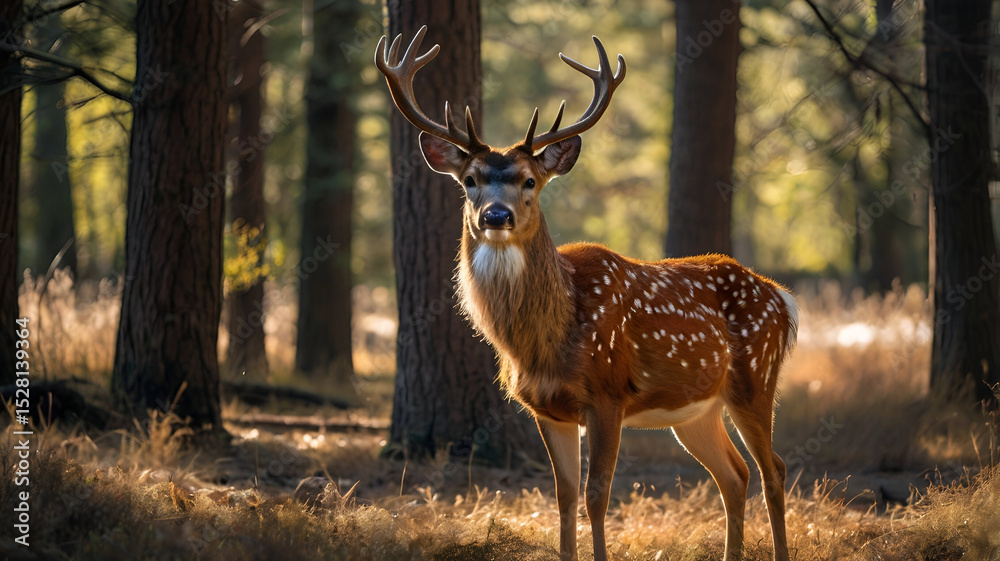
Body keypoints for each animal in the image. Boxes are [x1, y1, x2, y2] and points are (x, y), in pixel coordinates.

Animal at [376, 26, 798, 561]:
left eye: (529, 180)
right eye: (470, 180)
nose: (496, 215)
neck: (546, 338)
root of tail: (784, 298)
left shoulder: (608, 393)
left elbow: (598, 493)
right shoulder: (545, 407)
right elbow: (564, 495)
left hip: (755, 378)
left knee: (773, 470)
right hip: (696, 409)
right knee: (735, 475)